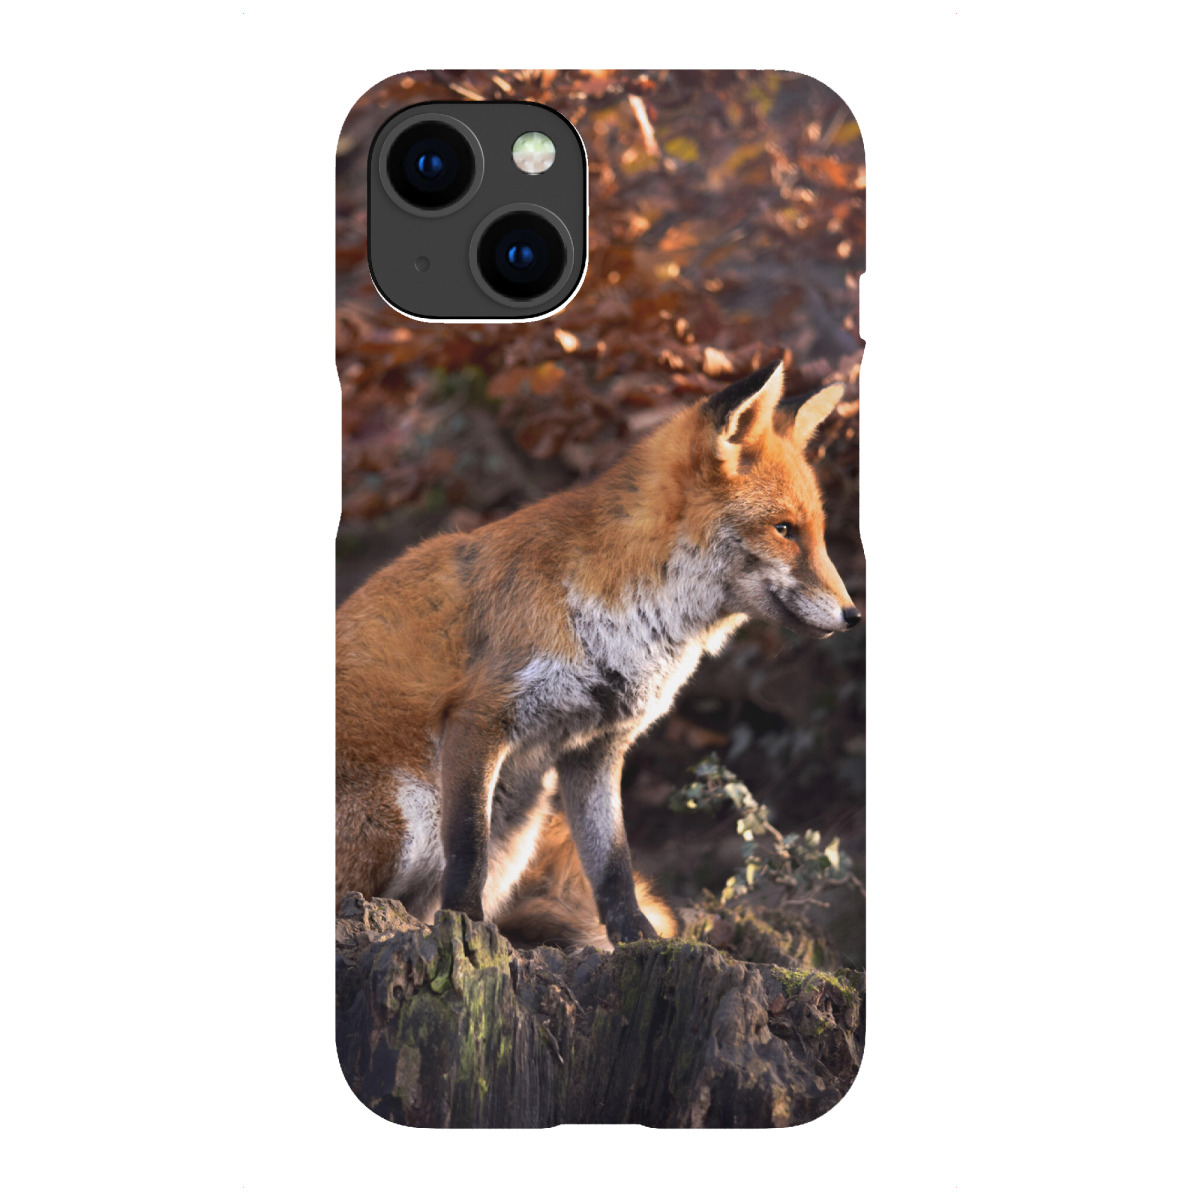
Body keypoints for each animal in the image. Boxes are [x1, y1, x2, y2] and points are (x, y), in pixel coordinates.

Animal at [336, 360, 860, 949]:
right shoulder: (480, 716)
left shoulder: (598, 746)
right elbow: (468, 848)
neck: (634, 623)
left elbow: (612, 863)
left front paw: (637, 939)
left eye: (816, 533)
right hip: (416, 815)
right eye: (784, 529)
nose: (853, 615)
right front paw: (466, 923)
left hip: (518, 827)